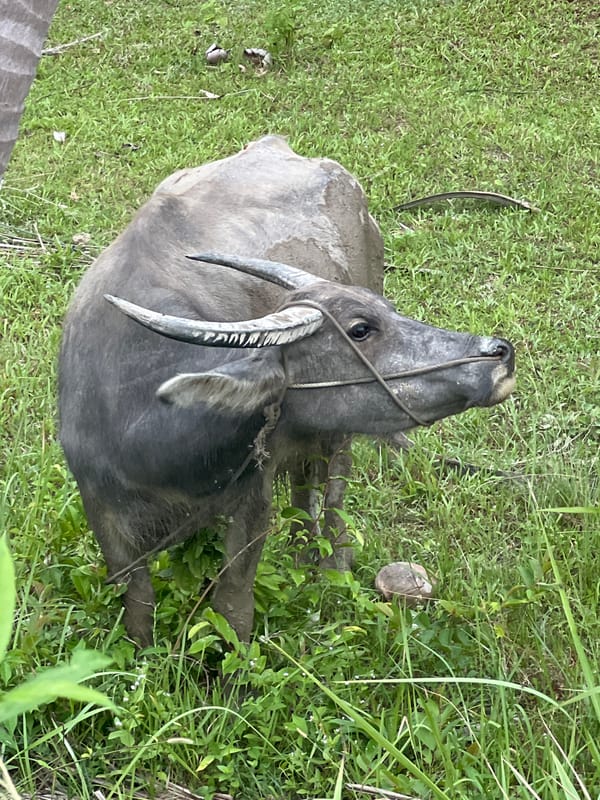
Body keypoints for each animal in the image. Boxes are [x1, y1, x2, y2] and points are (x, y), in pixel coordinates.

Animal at [59, 136, 515, 645]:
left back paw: (331, 568)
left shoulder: (252, 500)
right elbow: (139, 607)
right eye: (361, 329)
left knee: (330, 493)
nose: (499, 352)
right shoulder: (103, 513)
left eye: (387, 309)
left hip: (338, 431)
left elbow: (233, 604)